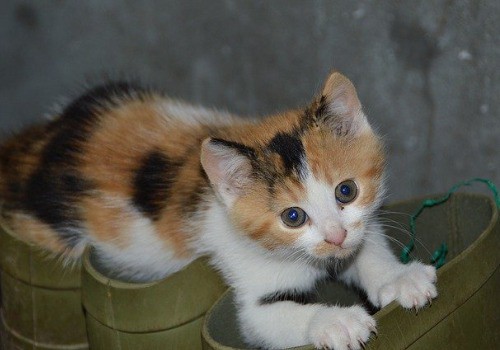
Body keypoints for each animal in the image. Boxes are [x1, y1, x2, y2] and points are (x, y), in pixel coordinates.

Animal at [0, 72, 436, 348]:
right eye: (292, 217)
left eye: (346, 191)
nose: (335, 235)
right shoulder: (248, 284)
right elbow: (264, 320)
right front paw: (337, 322)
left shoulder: (357, 230)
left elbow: (366, 249)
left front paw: (399, 279)